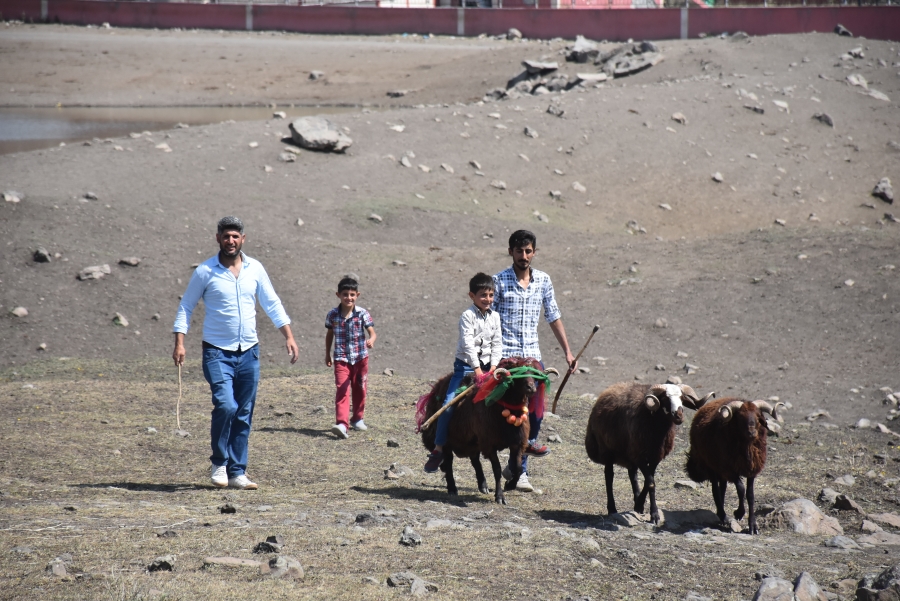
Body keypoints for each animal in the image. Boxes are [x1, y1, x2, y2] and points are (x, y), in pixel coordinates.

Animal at [420, 354, 556, 504]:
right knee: (448, 462)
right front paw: (500, 496)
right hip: (447, 439)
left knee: (474, 459)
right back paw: (452, 488)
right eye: (516, 373)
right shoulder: (490, 444)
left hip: (473, 440)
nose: (531, 388)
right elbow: (497, 469)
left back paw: (483, 485)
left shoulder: (517, 443)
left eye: (534, 374)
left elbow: (518, 468)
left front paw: (510, 485)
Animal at [588, 382, 712, 524]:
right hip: (607, 450)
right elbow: (651, 483)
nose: (679, 416)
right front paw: (654, 515)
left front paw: (639, 505)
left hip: (630, 453)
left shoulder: (654, 457)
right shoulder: (640, 456)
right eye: (665, 398)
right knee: (609, 477)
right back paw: (612, 509)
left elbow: (648, 482)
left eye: (681, 398)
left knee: (633, 476)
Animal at [684, 396, 784, 532]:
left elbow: (750, 495)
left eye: (758, 416)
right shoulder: (730, 469)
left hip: (720, 470)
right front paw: (739, 513)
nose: (752, 432)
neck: (747, 447)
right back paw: (723, 515)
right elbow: (741, 489)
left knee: (722, 488)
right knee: (715, 490)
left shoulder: (752, 469)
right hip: (711, 465)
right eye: (740, 416)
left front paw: (752, 525)